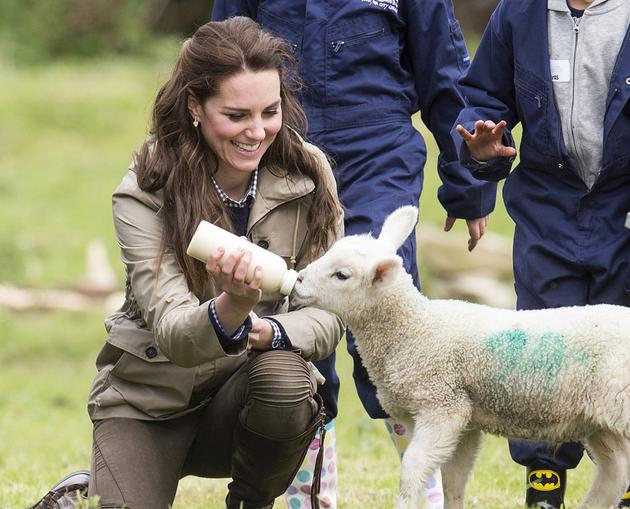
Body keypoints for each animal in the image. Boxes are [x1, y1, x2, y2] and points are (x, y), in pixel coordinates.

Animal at [294, 204, 630, 506]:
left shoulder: (442, 406)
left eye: (341, 275)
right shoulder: (465, 420)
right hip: (602, 425)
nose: (297, 280)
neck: (413, 329)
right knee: (614, 473)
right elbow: (453, 480)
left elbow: (412, 469)